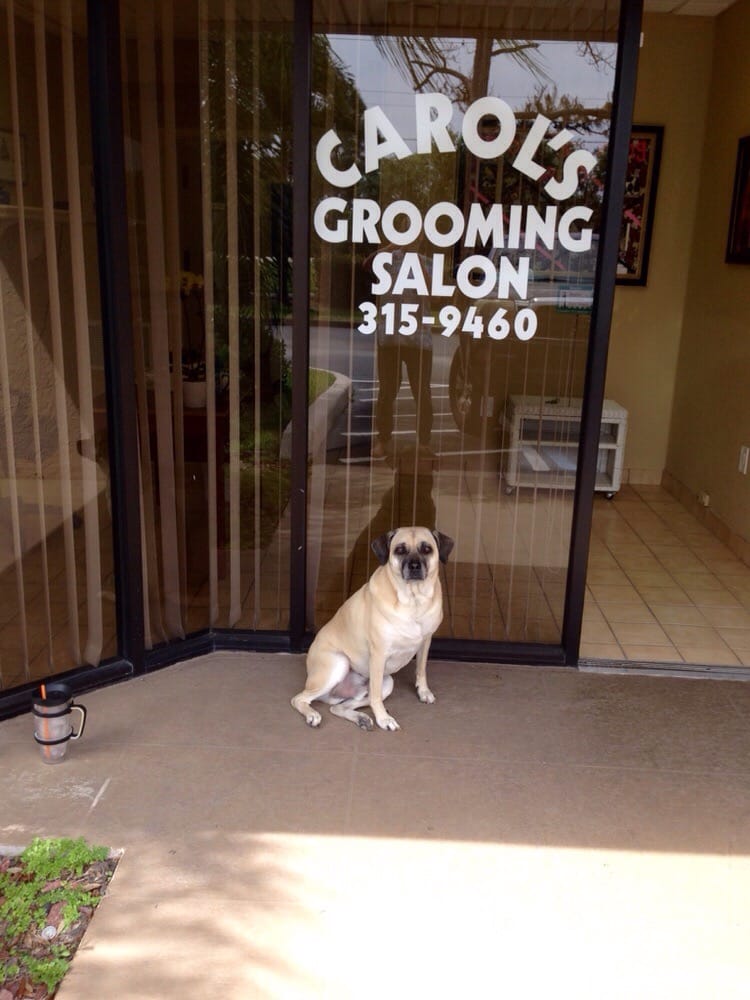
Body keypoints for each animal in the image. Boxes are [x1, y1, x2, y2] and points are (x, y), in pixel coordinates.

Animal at [291, 527, 454, 731]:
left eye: (426, 549)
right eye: (400, 550)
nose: (414, 566)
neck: (413, 600)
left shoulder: (426, 641)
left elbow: (421, 669)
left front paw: (423, 691)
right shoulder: (379, 654)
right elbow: (375, 697)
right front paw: (383, 718)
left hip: (387, 682)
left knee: (338, 707)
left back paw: (361, 718)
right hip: (339, 664)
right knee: (299, 699)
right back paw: (312, 714)